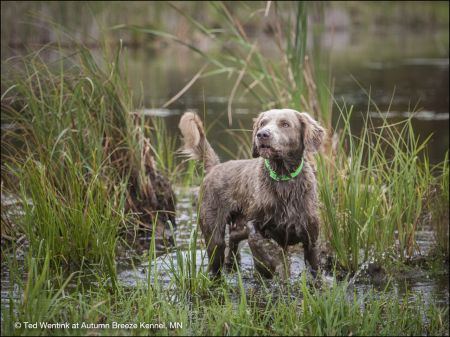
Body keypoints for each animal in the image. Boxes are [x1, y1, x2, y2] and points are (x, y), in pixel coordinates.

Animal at [178, 109, 324, 276]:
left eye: (285, 124)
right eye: (262, 123)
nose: (262, 134)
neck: (283, 181)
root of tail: (215, 167)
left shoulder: (311, 239)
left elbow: (314, 267)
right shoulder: (255, 221)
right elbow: (256, 241)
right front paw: (269, 263)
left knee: (233, 237)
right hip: (214, 232)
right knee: (218, 253)